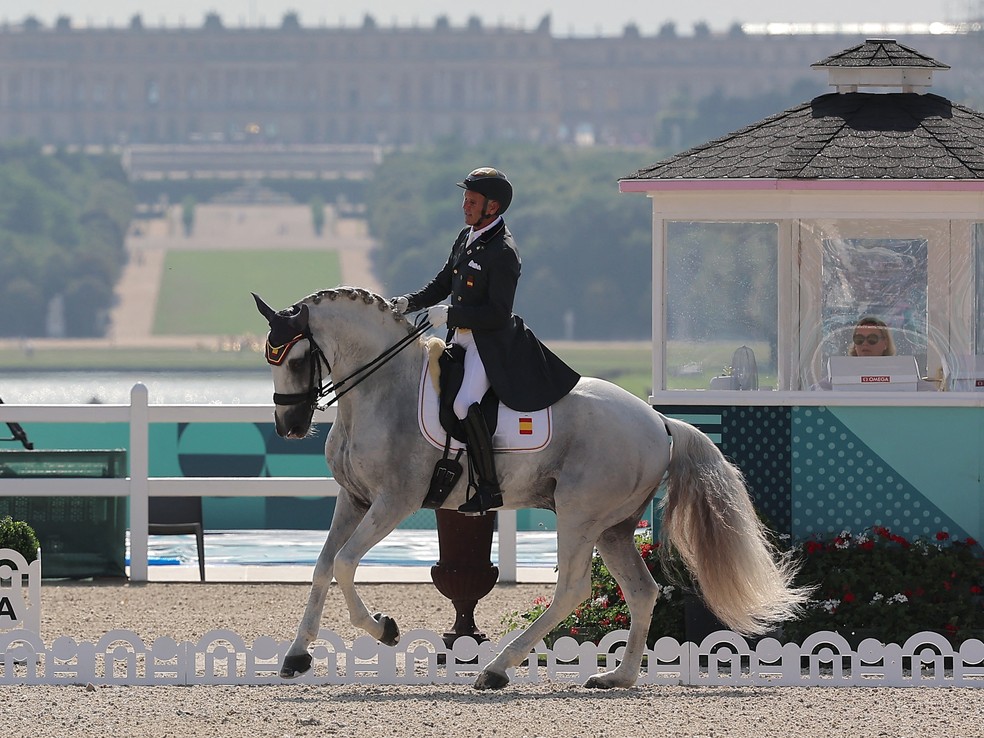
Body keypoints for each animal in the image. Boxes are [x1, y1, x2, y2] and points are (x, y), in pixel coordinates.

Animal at [254, 284, 808, 688]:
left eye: (297, 360)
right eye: (270, 360)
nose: (288, 427)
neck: (381, 389)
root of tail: (659, 421)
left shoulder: (394, 501)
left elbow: (345, 563)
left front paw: (384, 629)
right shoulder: (354, 498)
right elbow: (322, 566)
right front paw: (296, 657)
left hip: (580, 514)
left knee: (572, 589)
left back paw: (497, 669)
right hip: (613, 527)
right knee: (641, 590)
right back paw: (618, 677)